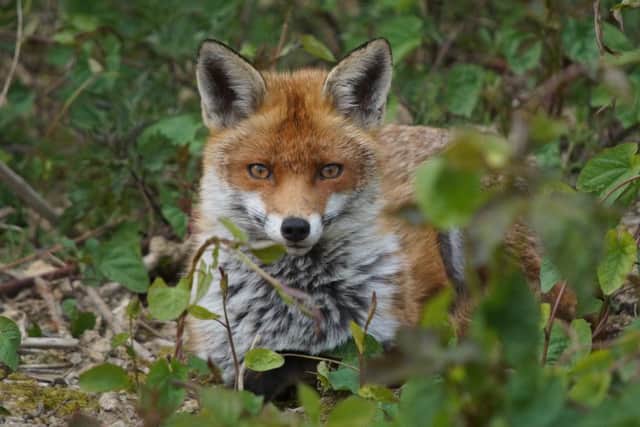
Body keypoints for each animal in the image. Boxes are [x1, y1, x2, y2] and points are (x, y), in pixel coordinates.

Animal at [184, 38, 569, 396]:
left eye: (330, 170)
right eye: (259, 170)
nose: (295, 227)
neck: (296, 305)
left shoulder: (380, 338)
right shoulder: (222, 351)